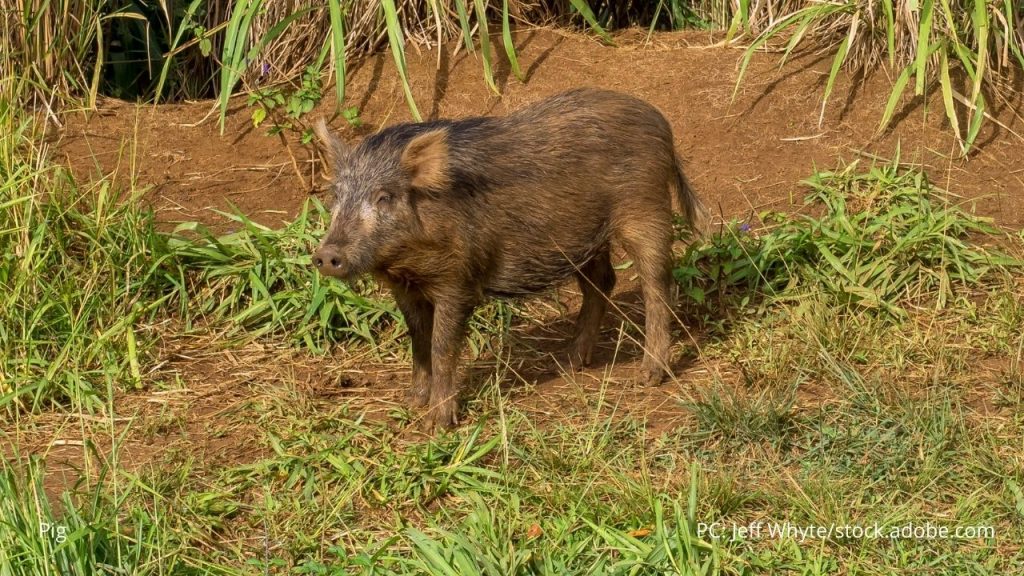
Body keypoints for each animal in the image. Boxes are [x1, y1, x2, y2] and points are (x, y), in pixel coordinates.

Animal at [312, 88, 703, 431]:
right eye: (337, 195)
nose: (326, 255)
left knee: (657, 285)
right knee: (603, 282)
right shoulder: (405, 290)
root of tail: (658, 120)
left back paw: (649, 376)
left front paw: (437, 425)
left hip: (646, 212)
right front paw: (411, 403)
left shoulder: (458, 281)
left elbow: (441, 347)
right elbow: (418, 342)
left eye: (384, 197)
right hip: (584, 239)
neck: (406, 264)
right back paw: (570, 362)